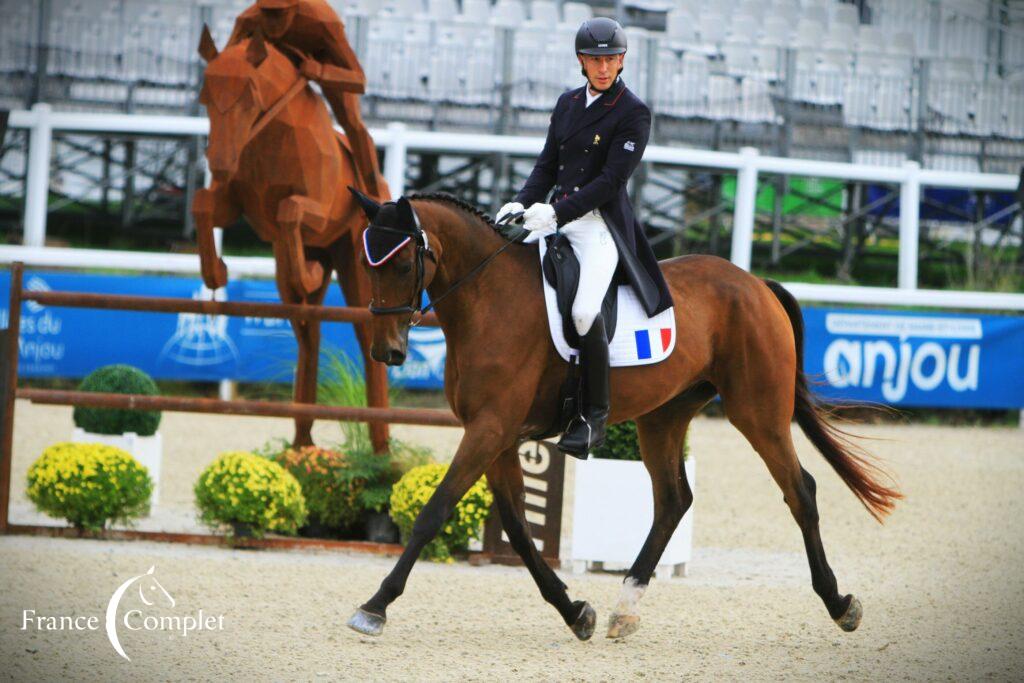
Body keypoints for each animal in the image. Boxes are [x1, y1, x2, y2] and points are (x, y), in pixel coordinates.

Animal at [191, 26, 387, 450]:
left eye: (248, 95)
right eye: (205, 96)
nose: (220, 163)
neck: (273, 137)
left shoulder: (314, 210)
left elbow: (290, 210)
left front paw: (307, 272)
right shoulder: (236, 204)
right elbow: (203, 204)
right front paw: (216, 273)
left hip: (357, 265)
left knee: (367, 340)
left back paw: (381, 449)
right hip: (304, 283)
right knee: (307, 333)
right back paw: (302, 441)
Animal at [342, 191, 897, 643]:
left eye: (401, 265)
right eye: (368, 265)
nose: (387, 352)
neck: (488, 298)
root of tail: (754, 282)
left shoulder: (490, 428)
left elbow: (434, 511)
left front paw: (374, 607)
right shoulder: (494, 433)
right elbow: (518, 528)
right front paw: (575, 612)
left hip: (757, 411)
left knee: (799, 490)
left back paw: (840, 604)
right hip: (664, 416)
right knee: (673, 500)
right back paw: (624, 607)